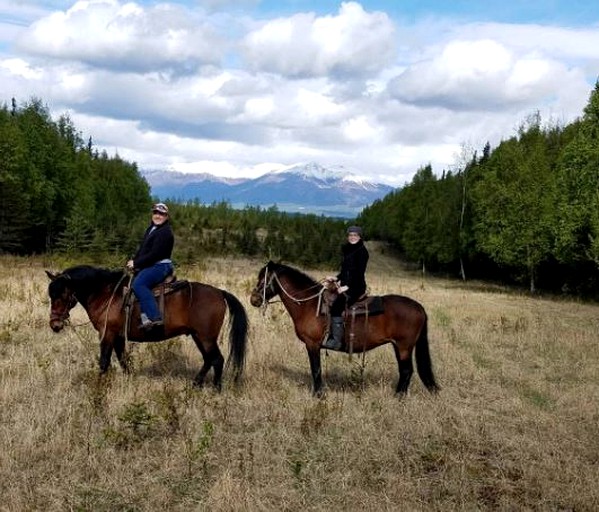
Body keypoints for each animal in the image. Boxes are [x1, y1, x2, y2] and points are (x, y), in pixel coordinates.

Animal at [45, 264, 248, 388]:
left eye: (62, 295)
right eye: (51, 295)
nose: (55, 324)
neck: (106, 294)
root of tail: (219, 292)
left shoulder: (107, 333)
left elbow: (104, 362)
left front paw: (98, 387)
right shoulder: (118, 336)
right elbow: (123, 360)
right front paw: (128, 381)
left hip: (206, 337)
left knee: (217, 360)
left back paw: (216, 389)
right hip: (198, 336)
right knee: (208, 359)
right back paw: (196, 384)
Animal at [250, 262, 440, 398]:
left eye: (264, 280)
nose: (254, 299)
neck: (309, 304)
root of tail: (419, 307)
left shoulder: (312, 345)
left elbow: (316, 369)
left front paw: (318, 395)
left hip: (404, 346)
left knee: (407, 370)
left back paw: (398, 397)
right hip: (398, 346)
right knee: (405, 371)